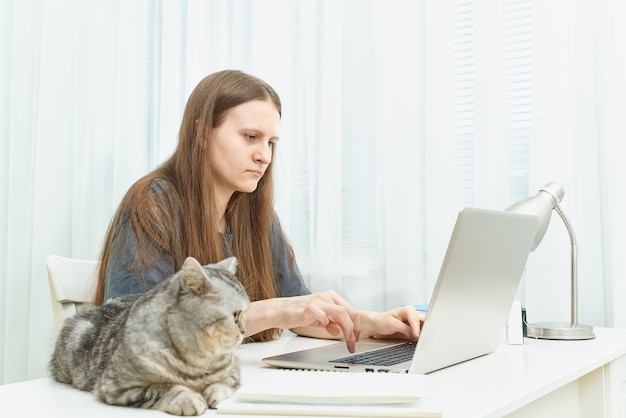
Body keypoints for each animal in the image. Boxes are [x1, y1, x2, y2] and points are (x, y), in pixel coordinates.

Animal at [50, 255, 249, 414]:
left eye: (246, 312)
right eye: (235, 315)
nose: (245, 331)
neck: (197, 361)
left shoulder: (234, 372)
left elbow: (223, 384)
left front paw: (213, 393)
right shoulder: (117, 386)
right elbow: (163, 388)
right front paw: (188, 398)